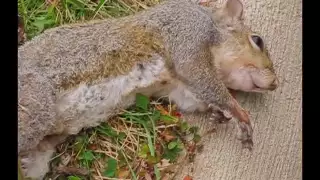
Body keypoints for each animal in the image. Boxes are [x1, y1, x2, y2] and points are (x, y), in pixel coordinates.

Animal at [18, 0, 278, 179]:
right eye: (257, 40)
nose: (274, 83)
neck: (211, 23)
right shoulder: (187, 32)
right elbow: (199, 75)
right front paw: (239, 113)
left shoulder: (177, 89)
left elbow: (192, 98)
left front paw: (219, 113)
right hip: (34, 106)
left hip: (37, 156)